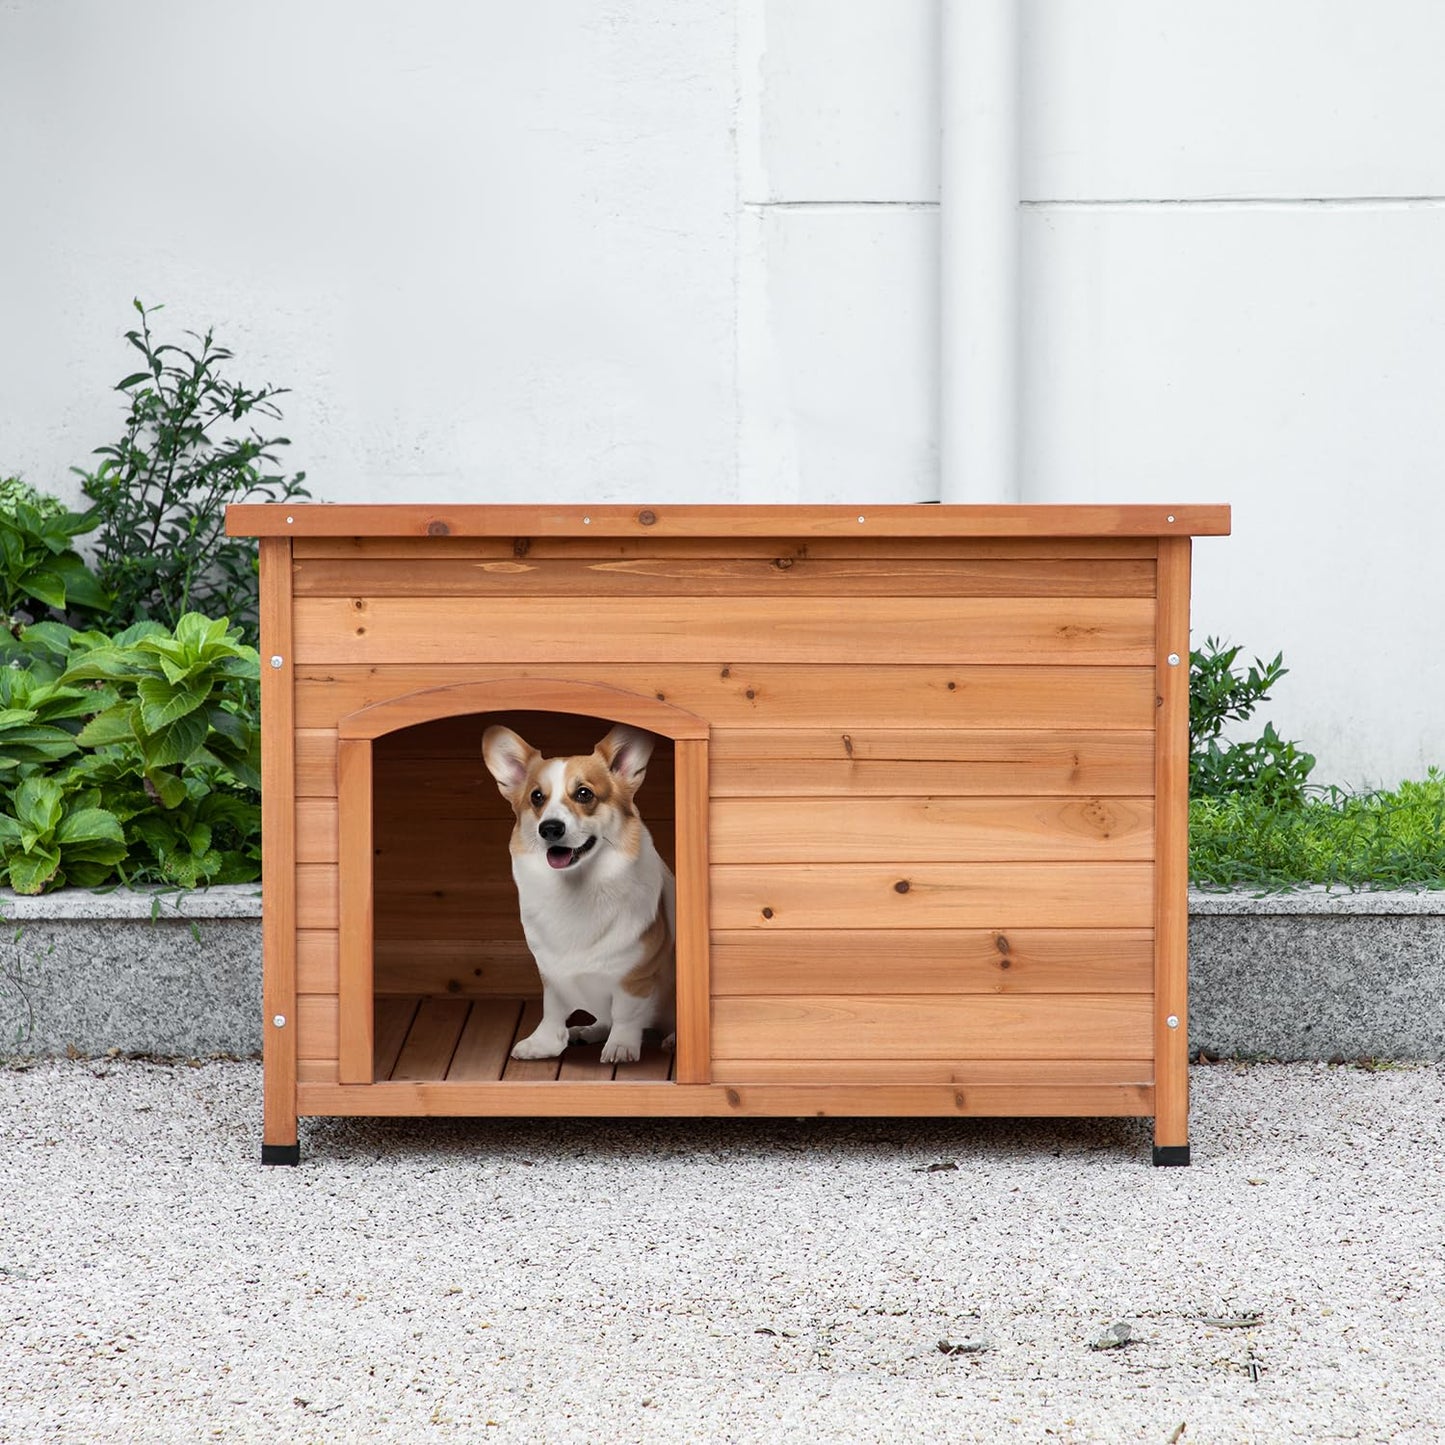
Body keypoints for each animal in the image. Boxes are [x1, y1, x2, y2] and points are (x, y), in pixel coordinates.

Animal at [479, 719, 670, 1063]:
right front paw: (543, 1044)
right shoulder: (551, 972)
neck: (575, 889)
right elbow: (553, 1010)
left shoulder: (635, 974)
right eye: (537, 797)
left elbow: (625, 1013)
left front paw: (621, 1047)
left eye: (584, 794)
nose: (550, 828)